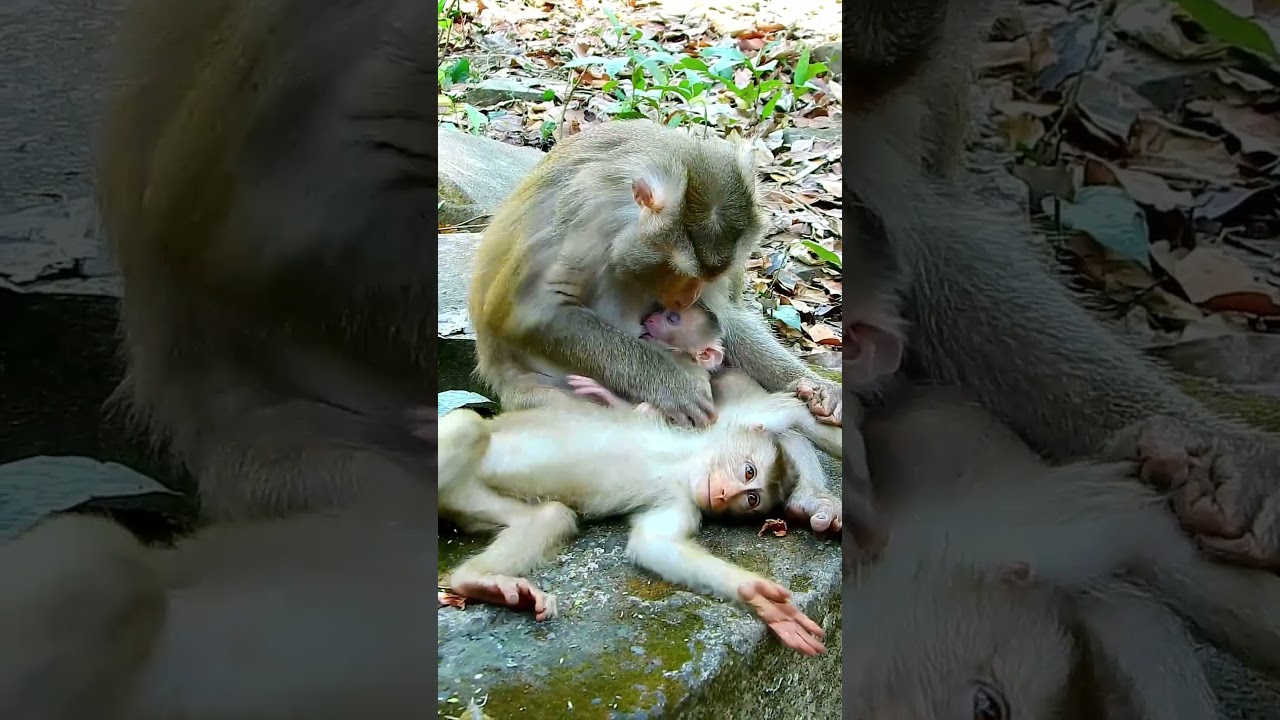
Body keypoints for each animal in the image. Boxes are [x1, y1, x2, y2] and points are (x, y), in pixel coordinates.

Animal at [436, 392, 842, 656]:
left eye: (752, 499)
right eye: (748, 472)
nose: (727, 495)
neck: (685, 466)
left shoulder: (683, 502)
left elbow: (653, 544)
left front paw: (755, 597)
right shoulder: (726, 425)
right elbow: (791, 412)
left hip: (466, 496)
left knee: (550, 515)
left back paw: (476, 581)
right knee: (469, 426)